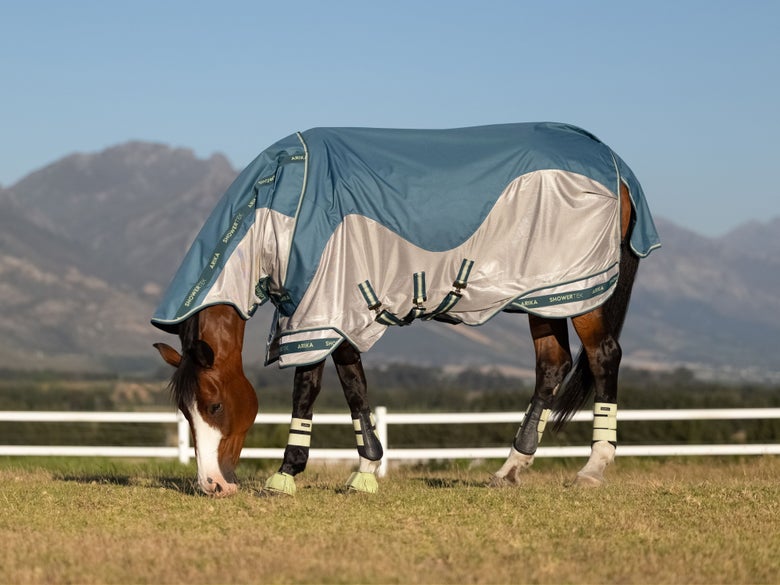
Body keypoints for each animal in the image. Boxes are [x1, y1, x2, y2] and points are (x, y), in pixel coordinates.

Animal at [152, 123, 660, 496]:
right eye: (184, 415)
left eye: (214, 405)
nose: (212, 486)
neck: (278, 206)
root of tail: (612, 161)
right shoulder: (339, 311)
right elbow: (354, 387)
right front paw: (363, 471)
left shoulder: (318, 310)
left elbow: (308, 387)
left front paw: (287, 473)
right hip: (545, 295)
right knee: (552, 366)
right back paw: (511, 468)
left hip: (580, 292)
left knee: (603, 356)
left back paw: (593, 467)